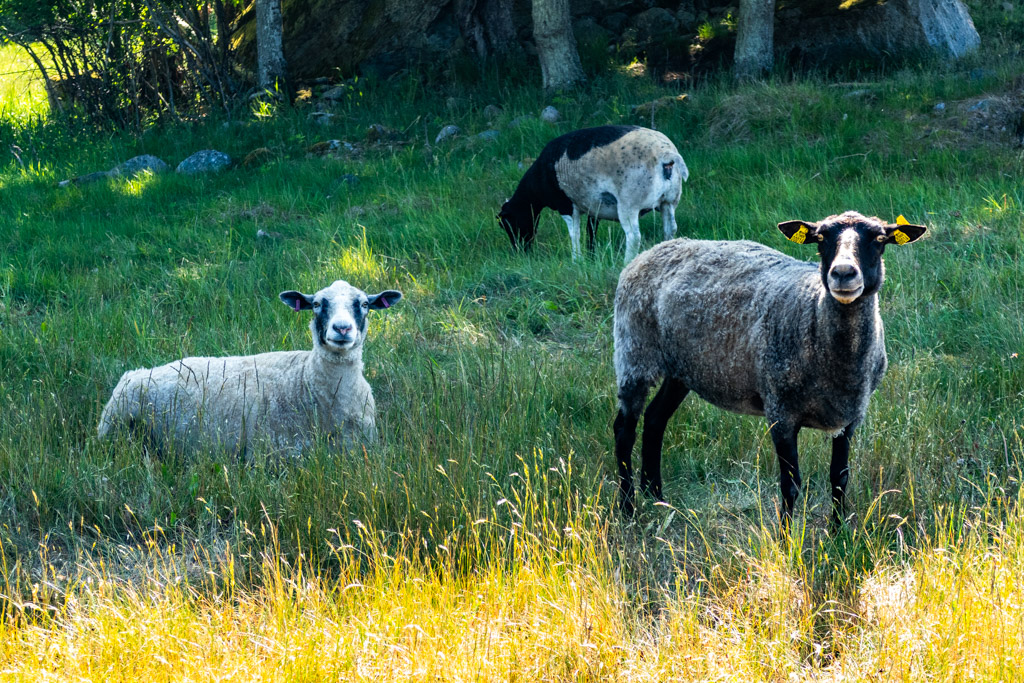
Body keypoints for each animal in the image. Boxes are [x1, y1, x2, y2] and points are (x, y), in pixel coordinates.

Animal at [96, 280, 399, 456]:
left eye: (364, 304)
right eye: (315, 304)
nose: (342, 328)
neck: (307, 381)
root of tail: (134, 374)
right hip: (116, 429)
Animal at [497, 124, 688, 264]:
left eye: (507, 224)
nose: (520, 252)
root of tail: (667, 155)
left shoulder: (566, 205)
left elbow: (575, 234)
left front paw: (577, 260)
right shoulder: (594, 206)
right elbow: (591, 231)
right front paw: (591, 257)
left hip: (629, 202)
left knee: (634, 236)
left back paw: (627, 262)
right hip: (670, 201)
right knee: (670, 229)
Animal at [610, 210, 933, 528]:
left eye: (879, 239)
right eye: (820, 239)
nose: (843, 273)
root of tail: (651, 251)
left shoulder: (851, 416)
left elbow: (839, 478)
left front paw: (838, 532)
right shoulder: (780, 411)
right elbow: (790, 484)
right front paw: (786, 537)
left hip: (680, 368)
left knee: (655, 418)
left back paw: (656, 496)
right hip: (634, 354)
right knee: (624, 428)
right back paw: (628, 507)